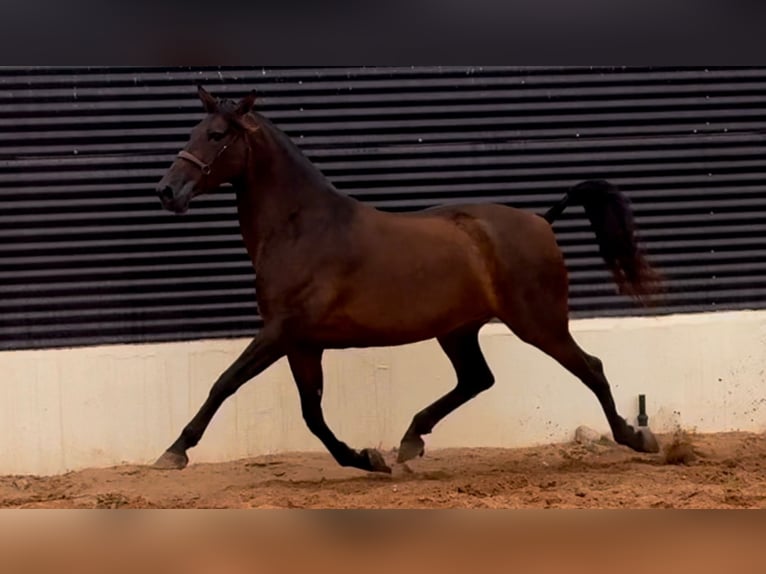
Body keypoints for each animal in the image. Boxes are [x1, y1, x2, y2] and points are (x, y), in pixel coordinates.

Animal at [152, 84, 664, 472]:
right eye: (192, 131)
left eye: (216, 134)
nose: (166, 190)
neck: (303, 228)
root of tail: (542, 219)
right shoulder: (302, 343)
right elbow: (312, 414)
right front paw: (366, 459)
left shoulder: (280, 331)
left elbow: (226, 382)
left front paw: (174, 451)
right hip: (458, 330)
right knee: (477, 379)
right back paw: (410, 439)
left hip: (538, 323)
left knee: (590, 367)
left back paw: (638, 439)